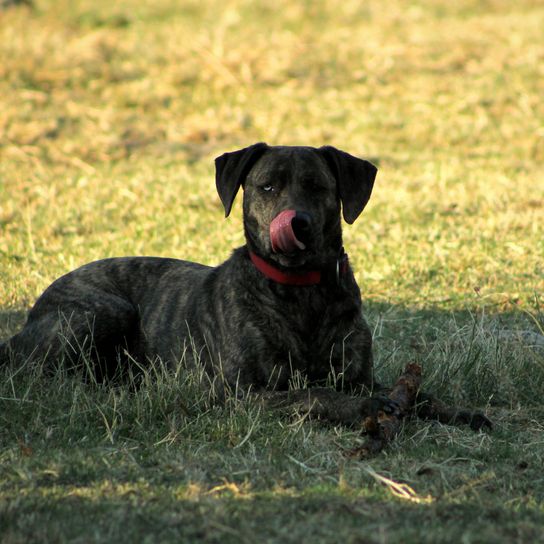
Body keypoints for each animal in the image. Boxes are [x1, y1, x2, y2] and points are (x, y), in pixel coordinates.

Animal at [0, 143, 490, 430]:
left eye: (318, 186)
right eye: (266, 186)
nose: (297, 223)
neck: (300, 291)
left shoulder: (359, 375)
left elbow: (415, 393)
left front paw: (457, 410)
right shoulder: (242, 394)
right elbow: (313, 393)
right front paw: (362, 410)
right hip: (104, 312)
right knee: (45, 376)